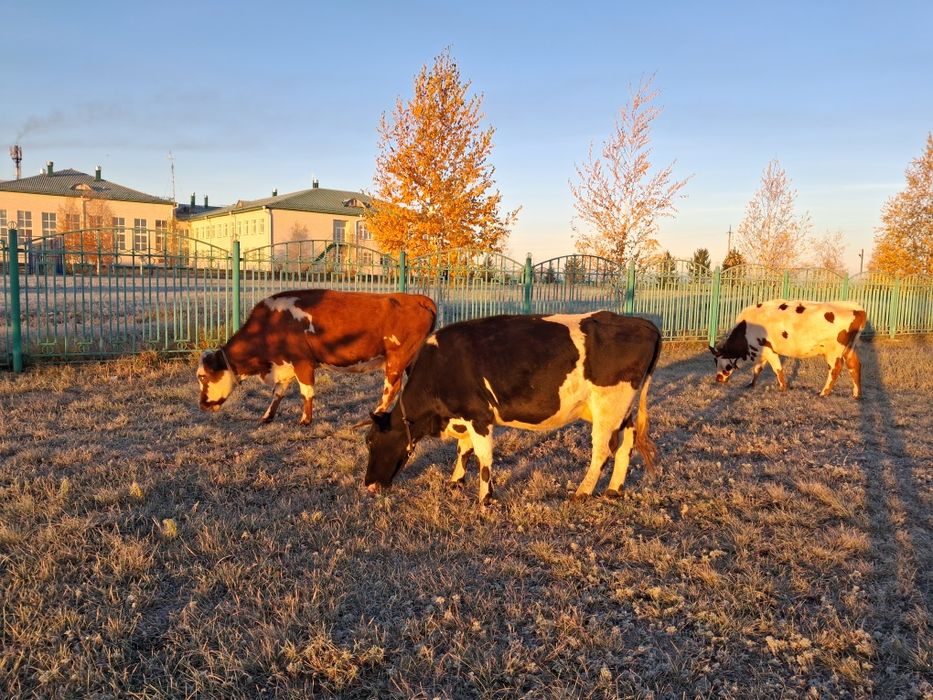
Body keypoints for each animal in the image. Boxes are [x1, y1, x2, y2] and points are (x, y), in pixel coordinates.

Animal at [197, 289, 437, 424]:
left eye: (203, 377)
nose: (202, 405)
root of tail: (417, 299)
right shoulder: (284, 365)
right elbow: (278, 393)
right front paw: (267, 417)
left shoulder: (302, 362)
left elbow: (306, 392)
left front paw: (305, 420)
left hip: (396, 359)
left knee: (391, 390)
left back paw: (375, 414)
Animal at [364, 311, 662, 504]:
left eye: (371, 441)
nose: (367, 484)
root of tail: (643, 323)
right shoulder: (465, 417)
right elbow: (463, 450)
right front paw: (455, 482)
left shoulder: (479, 416)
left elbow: (483, 458)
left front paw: (485, 499)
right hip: (619, 409)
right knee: (627, 442)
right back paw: (613, 491)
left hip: (608, 406)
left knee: (602, 450)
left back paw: (582, 492)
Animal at [709, 299, 867, 398]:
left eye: (718, 361)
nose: (718, 379)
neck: (746, 329)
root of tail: (858, 309)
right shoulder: (761, 353)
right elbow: (757, 369)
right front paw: (751, 384)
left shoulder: (768, 350)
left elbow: (777, 369)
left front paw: (782, 387)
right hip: (850, 348)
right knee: (855, 365)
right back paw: (856, 394)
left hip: (833, 351)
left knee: (835, 369)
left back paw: (823, 393)